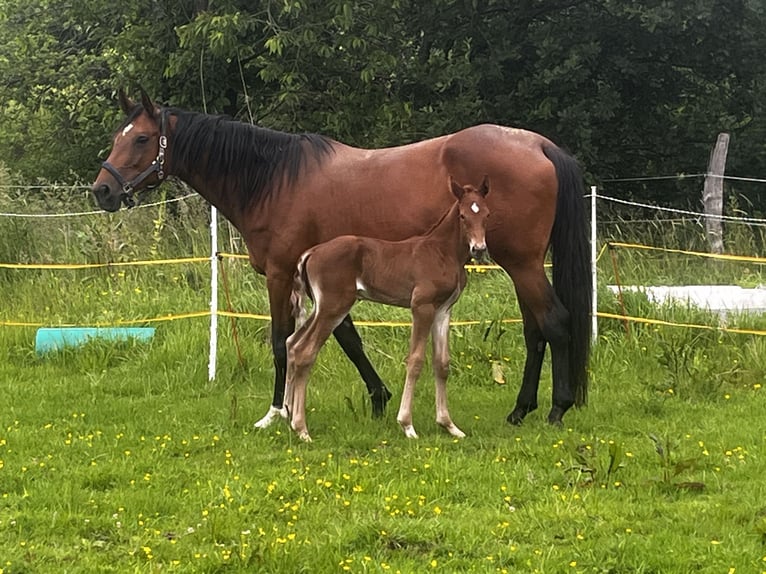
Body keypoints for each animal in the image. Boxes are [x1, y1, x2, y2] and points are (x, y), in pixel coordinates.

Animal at [286, 176, 490, 441]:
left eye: (486, 214)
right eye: (463, 216)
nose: (479, 249)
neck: (441, 252)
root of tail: (310, 252)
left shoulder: (443, 310)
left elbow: (442, 363)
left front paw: (449, 425)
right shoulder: (421, 307)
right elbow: (415, 361)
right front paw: (407, 425)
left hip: (320, 308)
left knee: (292, 343)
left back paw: (288, 415)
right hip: (333, 307)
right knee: (304, 351)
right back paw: (301, 428)